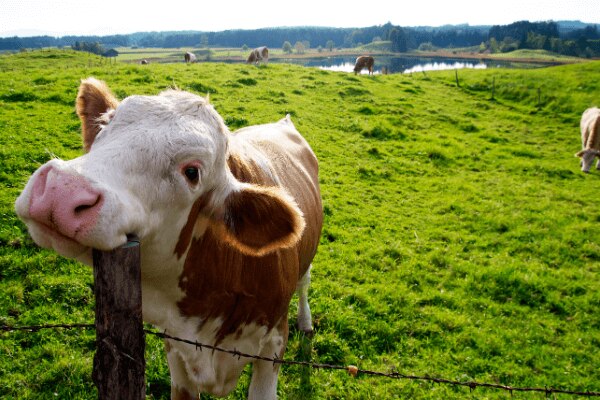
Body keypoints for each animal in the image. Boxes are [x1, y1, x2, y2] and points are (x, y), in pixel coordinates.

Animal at [15, 78, 324, 400]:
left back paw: (306, 322)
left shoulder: (272, 346)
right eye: (105, 126)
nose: (61, 190)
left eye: (192, 172)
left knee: (304, 283)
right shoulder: (177, 348)